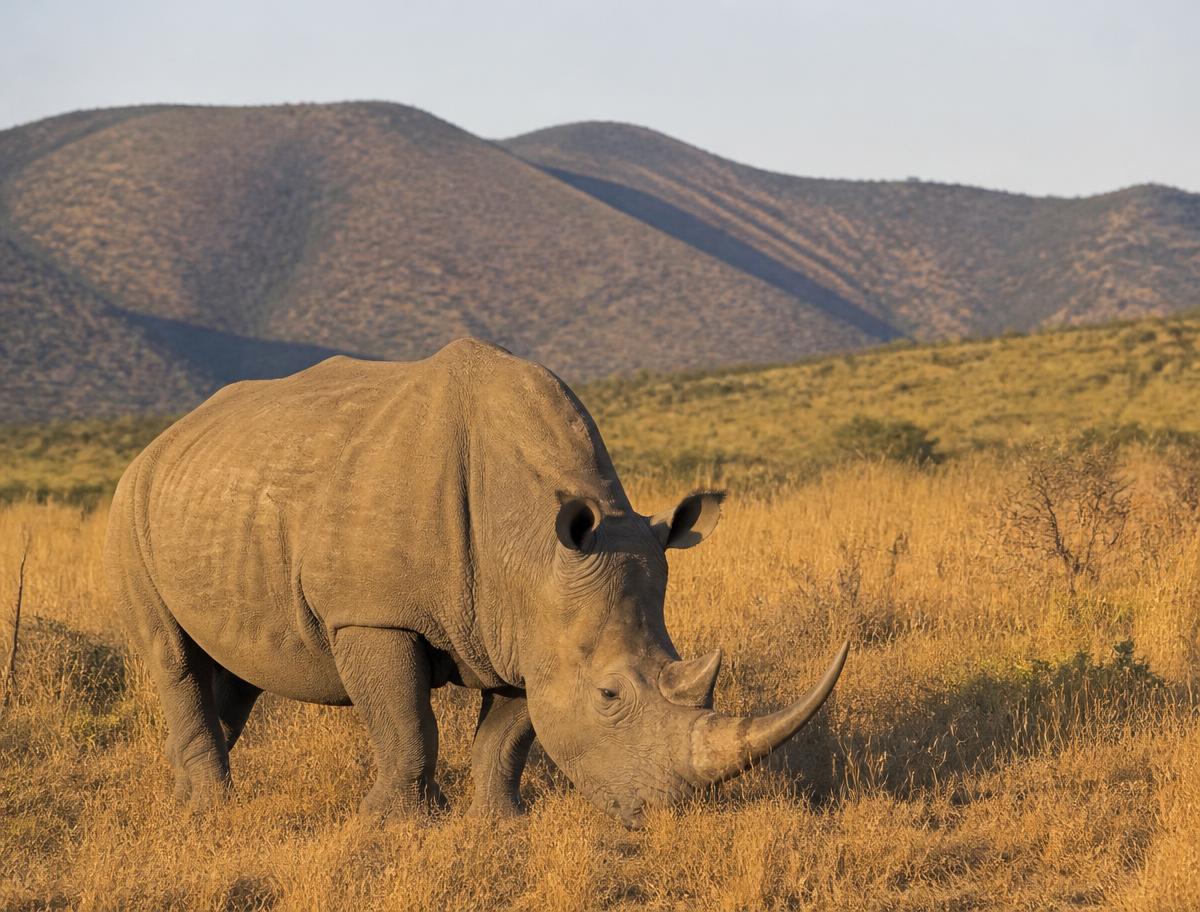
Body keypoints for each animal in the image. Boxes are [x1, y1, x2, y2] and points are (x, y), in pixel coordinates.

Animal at [105, 339, 848, 826]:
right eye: (609, 695)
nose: (663, 814)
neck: (534, 550)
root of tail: (162, 441)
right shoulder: (374, 614)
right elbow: (406, 723)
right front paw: (397, 826)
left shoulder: (527, 627)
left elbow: (508, 737)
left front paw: (499, 824)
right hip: (128, 505)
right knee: (173, 655)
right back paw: (212, 811)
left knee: (234, 671)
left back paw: (185, 796)